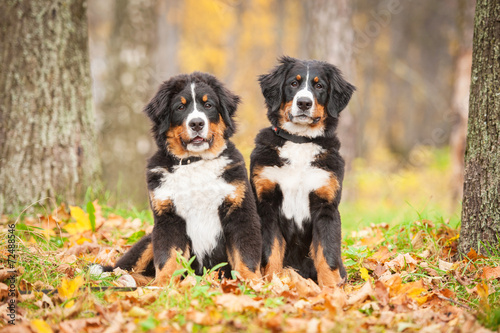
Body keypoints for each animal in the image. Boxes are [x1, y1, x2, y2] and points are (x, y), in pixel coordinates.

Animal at [98, 71, 262, 284]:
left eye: (208, 105)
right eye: (180, 107)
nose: (197, 123)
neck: (195, 162)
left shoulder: (240, 210)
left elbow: (245, 255)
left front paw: (253, 283)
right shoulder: (167, 217)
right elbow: (168, 258)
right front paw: (164, 285)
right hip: (148, 240)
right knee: (127, 268)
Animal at [250, 56, 356, 288]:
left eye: (319, 86)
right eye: (293, 83)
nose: (304, 103)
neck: (299, 141)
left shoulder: (325, 204)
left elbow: (327, 255)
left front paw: (331, 290)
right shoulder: (267, 204)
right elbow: (271, 252)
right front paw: (273, 285)